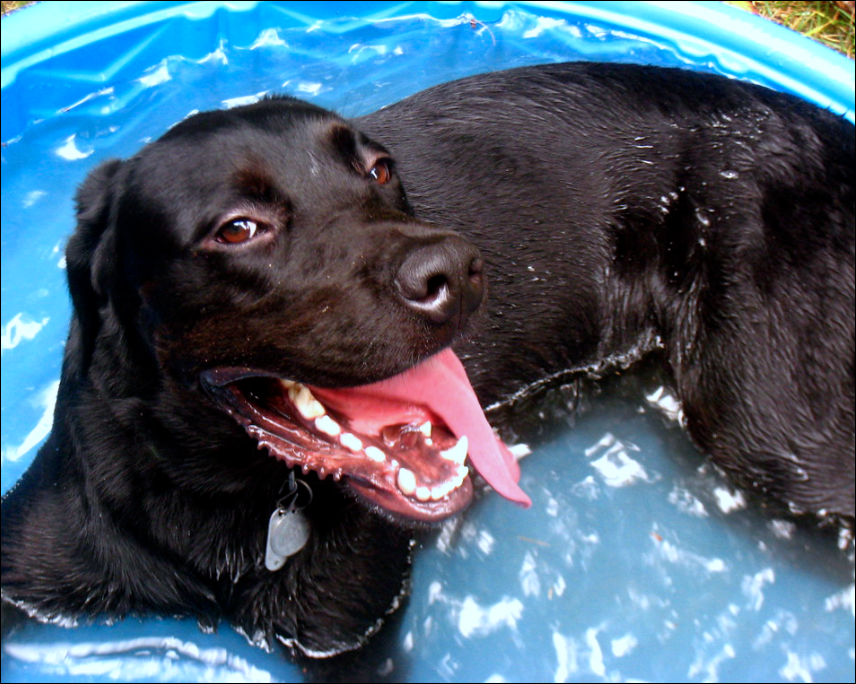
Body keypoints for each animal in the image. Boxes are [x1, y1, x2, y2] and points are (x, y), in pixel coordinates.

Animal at [1, 64, 856, 656]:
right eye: (238, 228)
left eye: (379, 169)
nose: (458, 266)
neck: (206, 495)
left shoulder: (348, 627)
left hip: (772, 424)